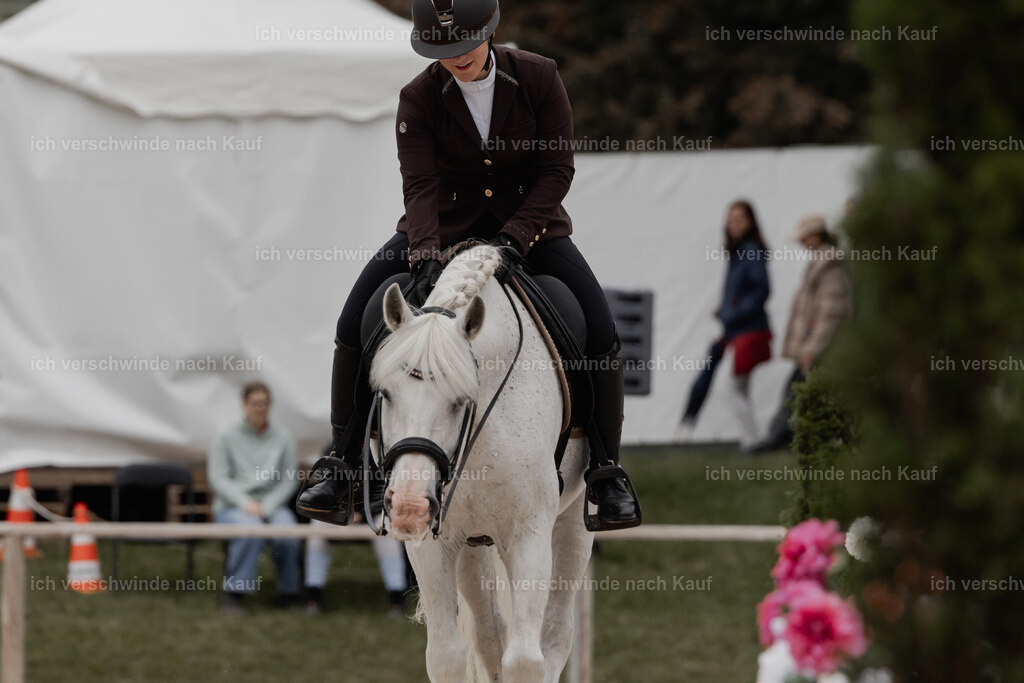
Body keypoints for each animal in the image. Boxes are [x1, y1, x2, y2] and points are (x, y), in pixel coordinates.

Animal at [368, 244, 594, 682]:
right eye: (385, 393)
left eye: (461, 400)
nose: (408, 508)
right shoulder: (432, 543)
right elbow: (447, 655)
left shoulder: (529, 535)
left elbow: (525, 660)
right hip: (472, 543)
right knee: (489, 634)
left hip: (575, 521)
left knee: (555, 637)